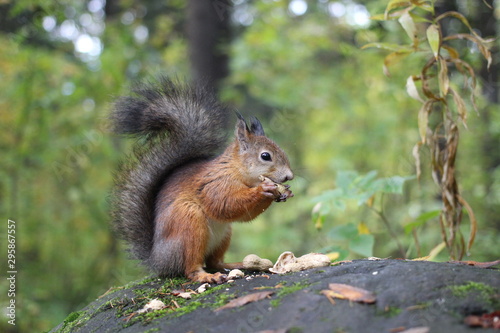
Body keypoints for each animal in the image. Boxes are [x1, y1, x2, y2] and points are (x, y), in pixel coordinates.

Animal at [110, 78, 292, 282]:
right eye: (265, 156)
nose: (289, 176)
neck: (236, 170)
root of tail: (158, 260)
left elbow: (244, 215)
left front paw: (284, 192)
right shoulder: (215, 184)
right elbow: (224, 204)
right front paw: (265, 189)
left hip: (224, 234)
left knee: (214, 262)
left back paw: (234, 265)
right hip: (188, 223)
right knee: (191, 268)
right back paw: (205, 276)